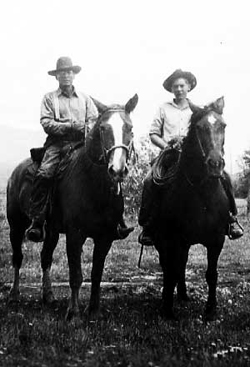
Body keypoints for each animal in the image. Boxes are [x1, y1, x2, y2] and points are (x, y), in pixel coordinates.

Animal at [6, 93, 139, 320]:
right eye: (103, 128)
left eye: (129, 127)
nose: (117, 170)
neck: (94, 186)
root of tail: (15, 172)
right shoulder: (75, 235)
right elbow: (76, 275)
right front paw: (74, 313)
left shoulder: (105, 238)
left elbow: (96, 274)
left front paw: (94, 310)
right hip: (16, 226)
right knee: (18, 258)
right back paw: (14, 294)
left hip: (50, 231)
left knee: (45, 258)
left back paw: (48, 296)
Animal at [151, 98, 229, 322]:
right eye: (199, 128)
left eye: (223, 125)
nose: (215, 164)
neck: (202, 196)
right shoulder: (172, 239)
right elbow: (170, 271)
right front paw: (167, 310)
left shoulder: (216, 240)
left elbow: (211, 274)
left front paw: (210, 310)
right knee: (171, 266)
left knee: (181, 265)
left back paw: (184, 295)